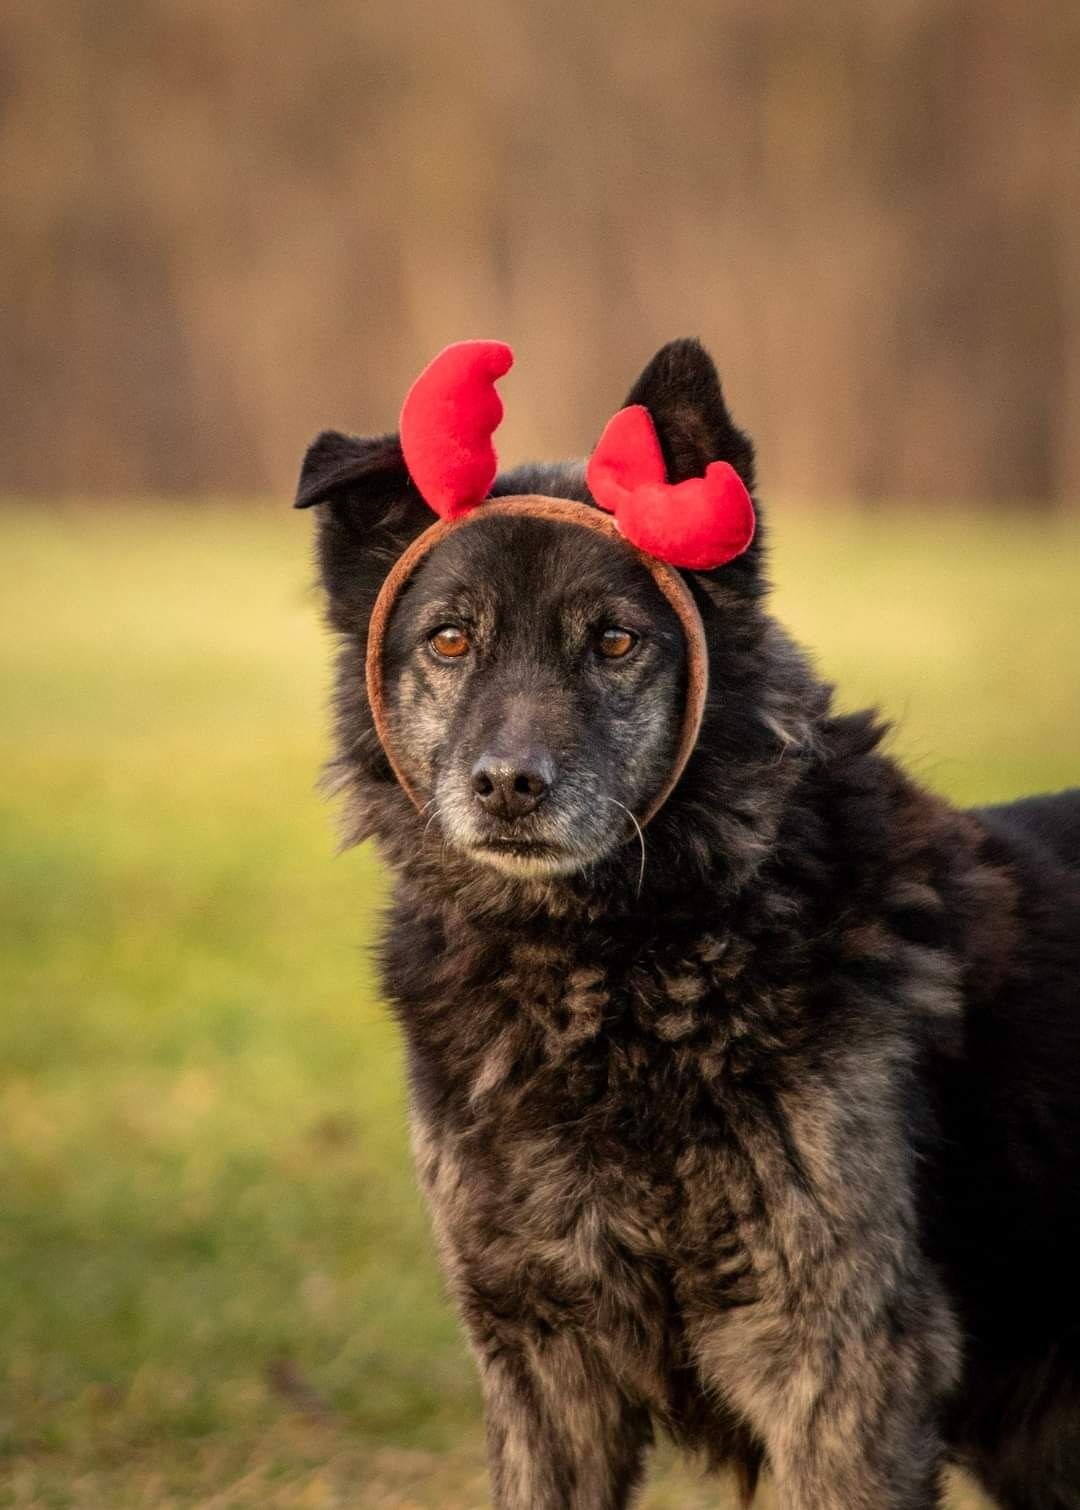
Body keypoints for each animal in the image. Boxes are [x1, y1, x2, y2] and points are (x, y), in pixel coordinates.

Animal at [296, 342, 1080, 1510]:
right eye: (450, 638)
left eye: (617, 640)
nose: (510, 785)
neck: (615, 977)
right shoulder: (541, 1359)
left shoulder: (842, 1364)